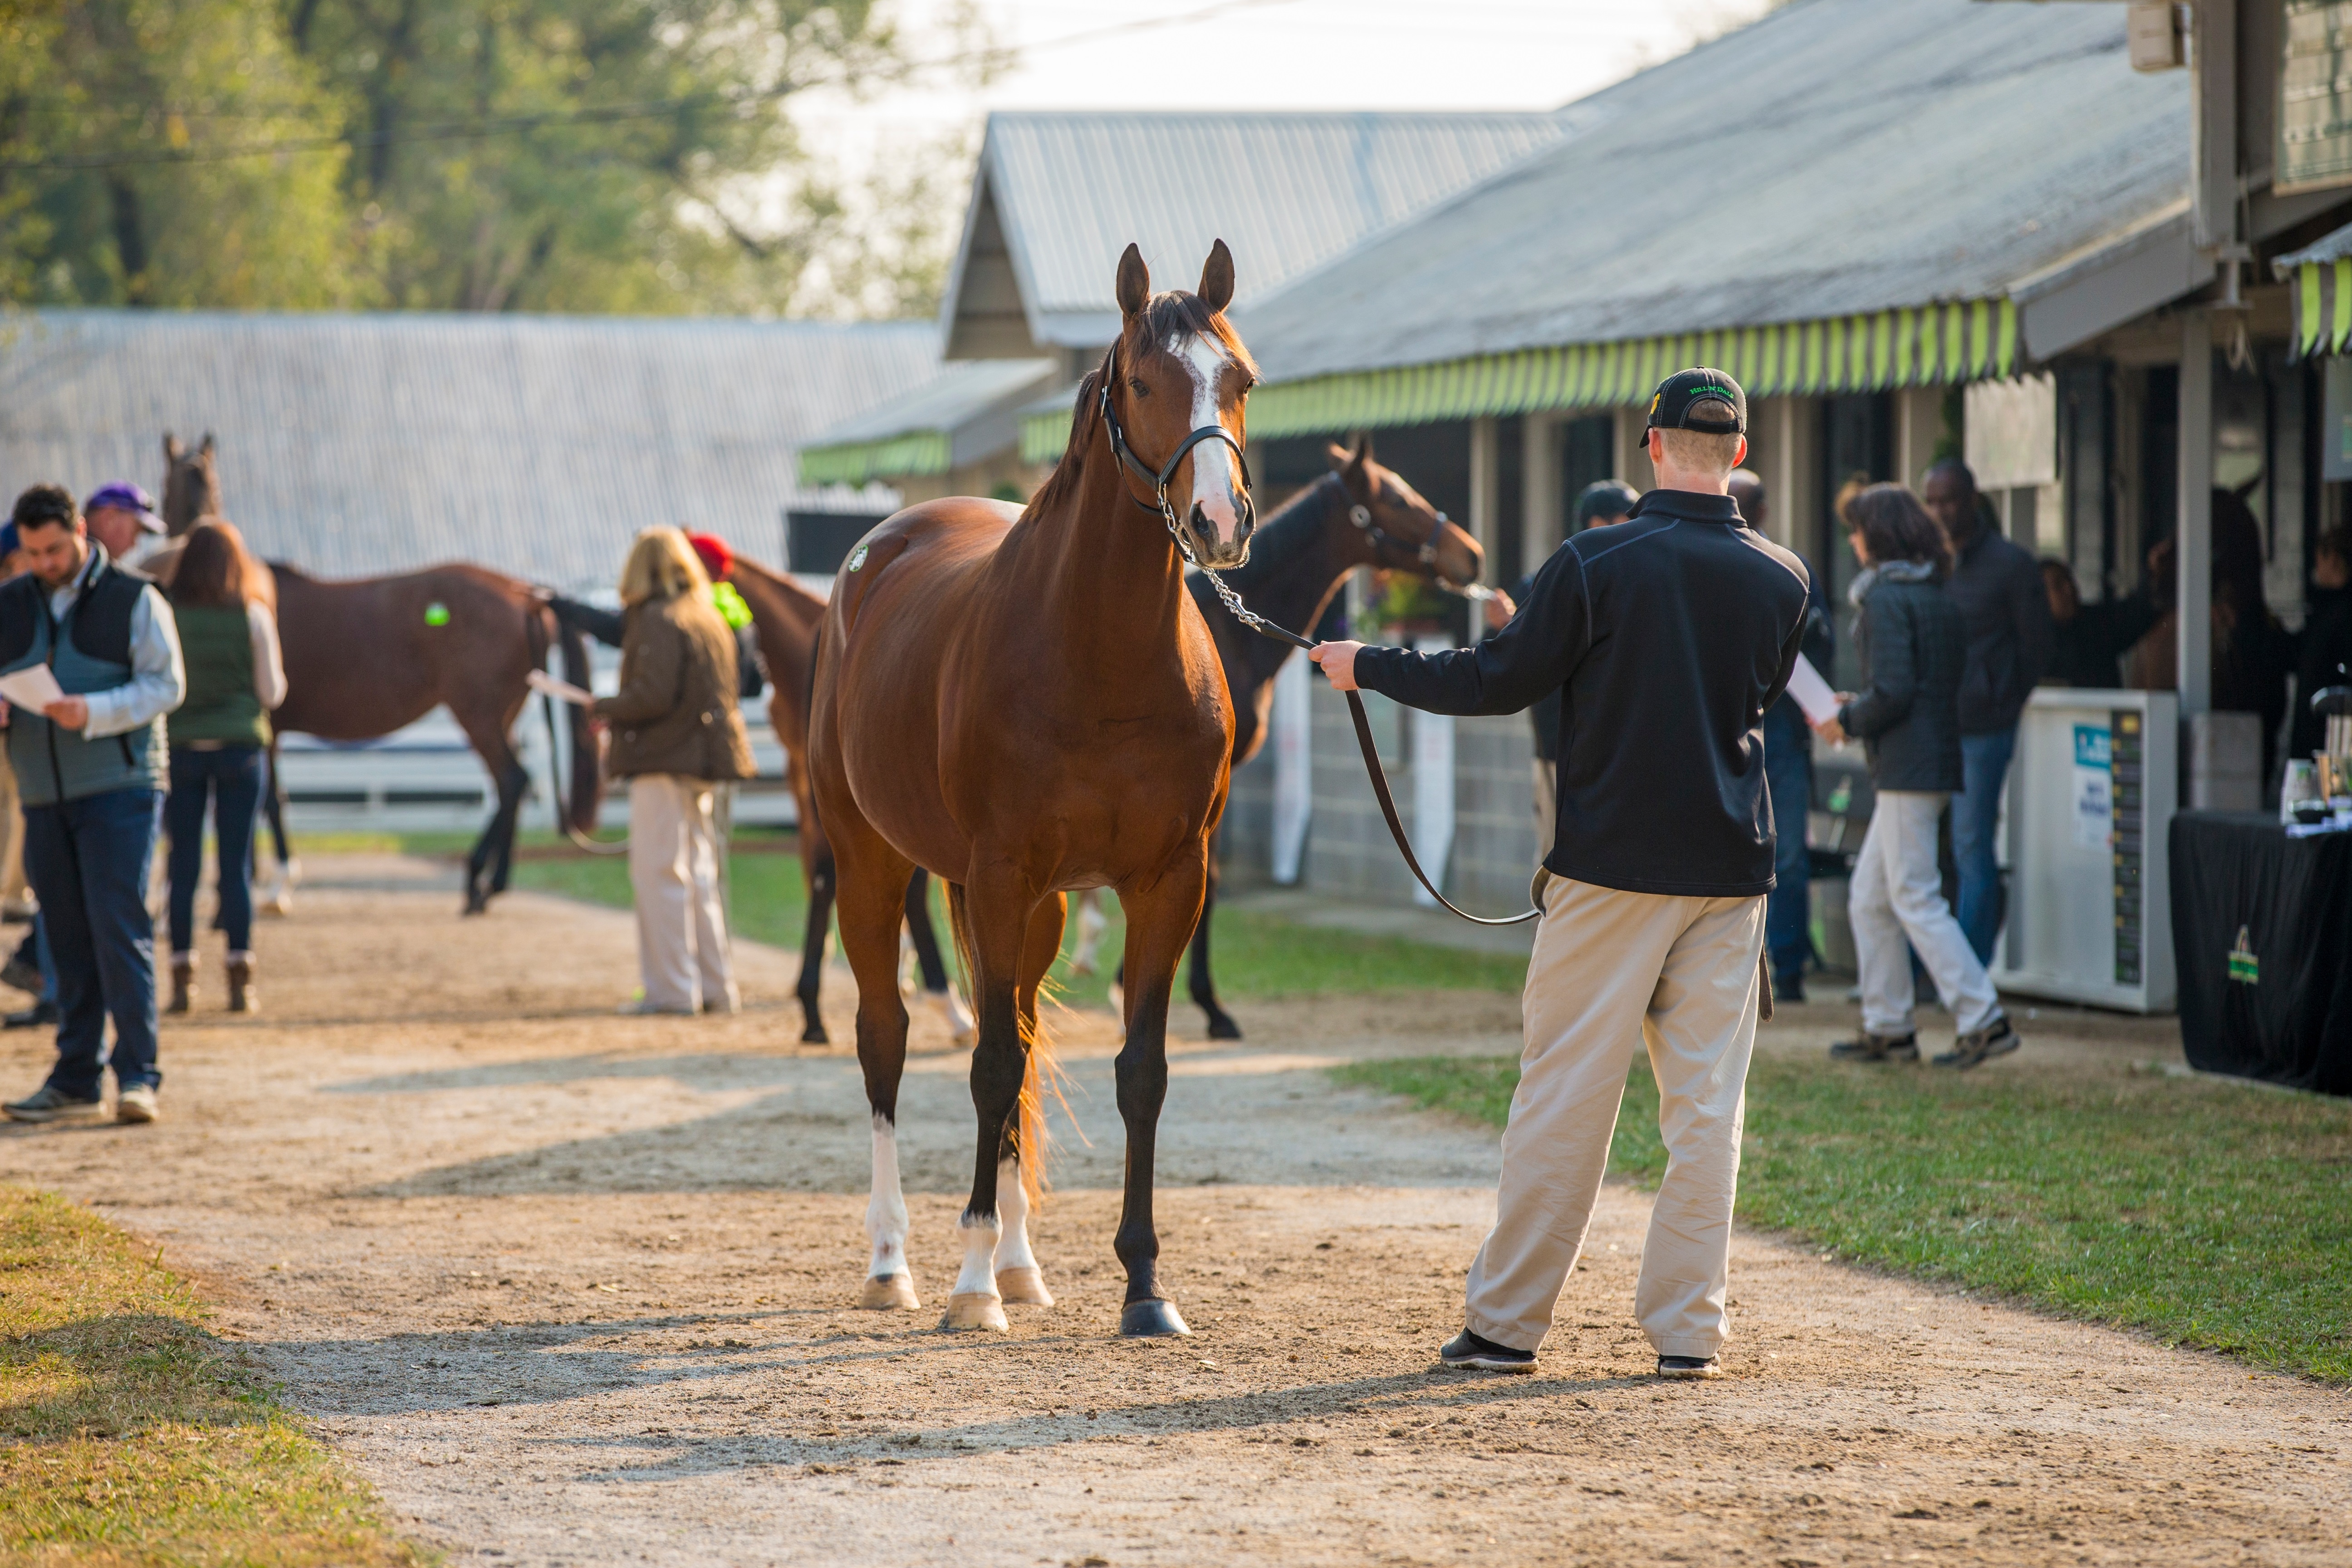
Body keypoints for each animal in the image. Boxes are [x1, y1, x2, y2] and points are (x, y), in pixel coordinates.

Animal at [159, 436, 601, 914]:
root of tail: (526, 595)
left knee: (512, 780)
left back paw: (476, 882)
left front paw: (277, 885)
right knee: (510, 789)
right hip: (504, 715)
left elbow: (272, 802)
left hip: (477, 715)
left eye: (162, 490)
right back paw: (491, 885)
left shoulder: (268, 725)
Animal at [808, 240, 1250, 1338]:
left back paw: (1020, 1265)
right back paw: (896, 1264)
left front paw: (1144, 1286)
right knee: (887, 1039)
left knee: (1018, 1027)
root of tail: (879, 549)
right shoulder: (1002, 875)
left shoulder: (1166, 882)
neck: (1101, 657)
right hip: (873, 865)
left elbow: (1137, 1070)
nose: (1221, 524)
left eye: (1241, 379)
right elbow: (990, 1066)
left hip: (1030, 903)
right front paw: (968, 1287)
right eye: (1144, 384)